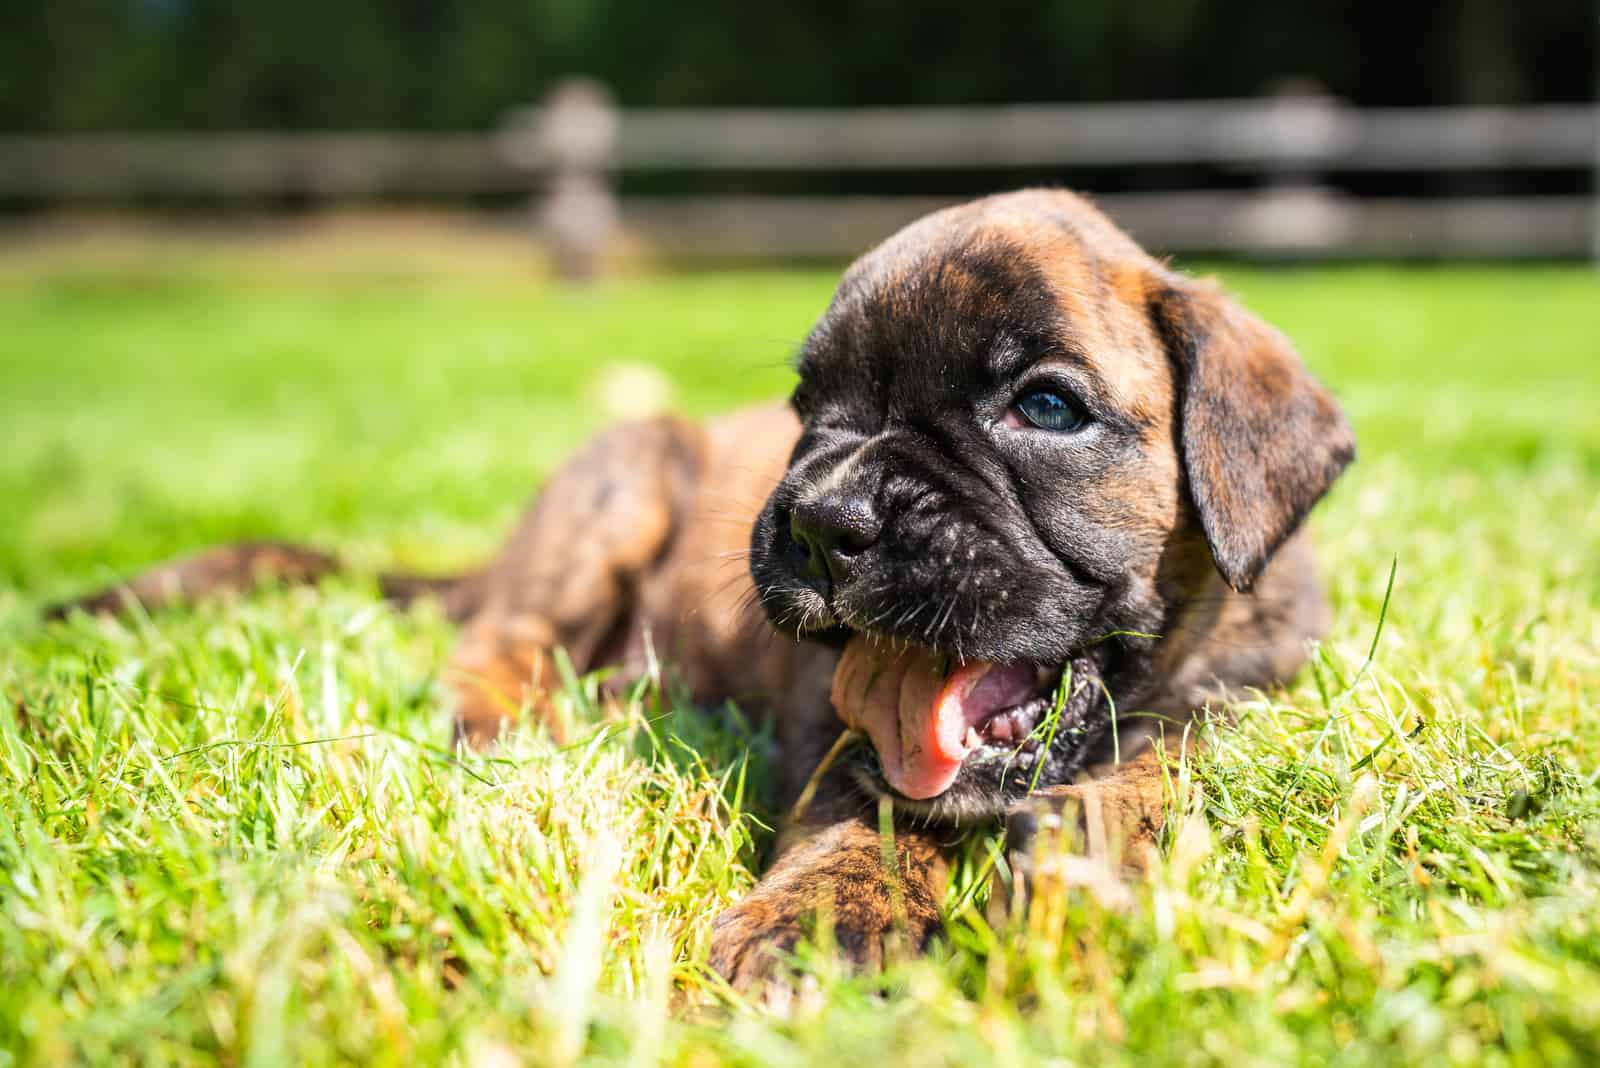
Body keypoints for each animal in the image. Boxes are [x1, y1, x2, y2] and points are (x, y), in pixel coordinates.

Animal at [46, 187, 1350, 991]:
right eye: (810, 408)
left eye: (1045, 406)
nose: (825, 523)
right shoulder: (839, 726)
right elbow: (870, 808)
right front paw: (818, 920)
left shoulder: (1254, 690)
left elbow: (1169, 754)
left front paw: (1093, 853)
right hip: (622, 474)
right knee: (500, 641)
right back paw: (518, 729)